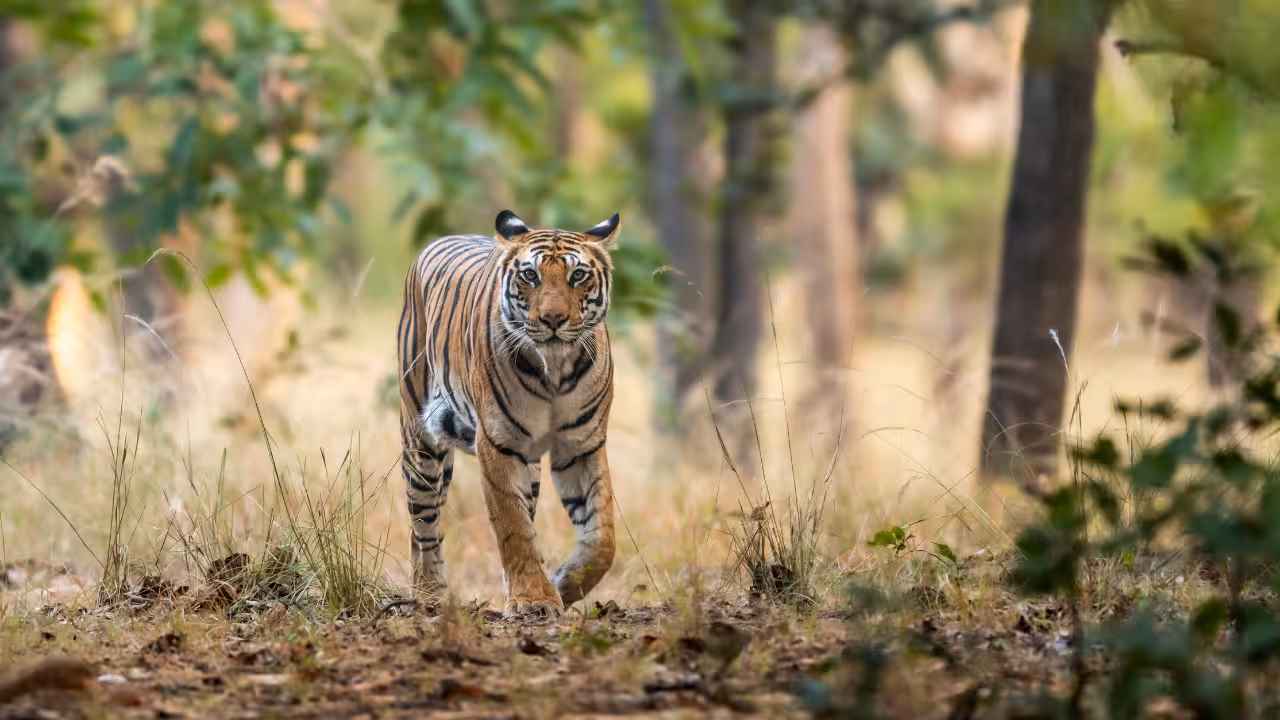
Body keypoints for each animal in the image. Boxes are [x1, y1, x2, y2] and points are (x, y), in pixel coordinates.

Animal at [397, 209, 620, 617]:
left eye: (577, 275)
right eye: (530, 275)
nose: (553, 319)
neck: (555, 367)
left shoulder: (581, 446)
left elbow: (602, 538)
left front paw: (564, 583)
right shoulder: (499, 443)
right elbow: (512, 525)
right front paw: (533, 599)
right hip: (420, 443)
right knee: (423, 525)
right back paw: (430, 595)